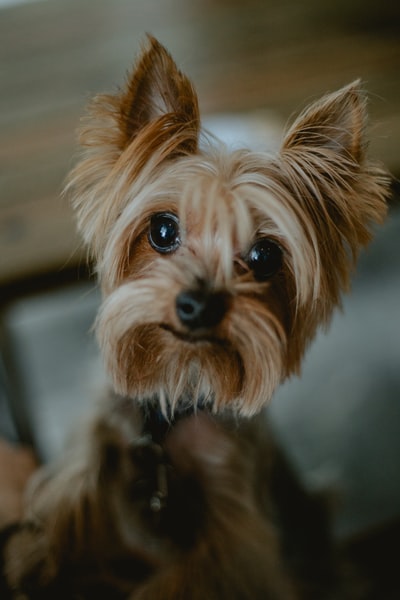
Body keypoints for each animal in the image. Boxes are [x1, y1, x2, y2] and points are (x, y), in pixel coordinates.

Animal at [0, 35, 390, 596]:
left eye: (264, 256)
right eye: (163, 230)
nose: (198, 304)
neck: (174, 396)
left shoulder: (234, 524)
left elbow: (193, 575)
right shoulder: (102, 433)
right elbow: (69, 495)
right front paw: (35, 555)